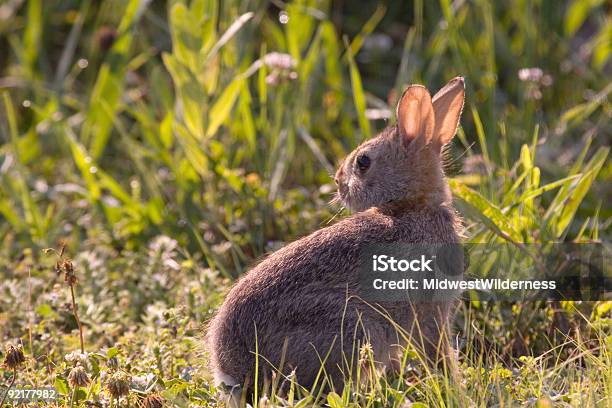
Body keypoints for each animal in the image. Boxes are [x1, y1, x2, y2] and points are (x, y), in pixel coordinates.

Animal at [206, 77, 464, 396]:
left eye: (363, 162)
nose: (339, 181)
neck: (414, 207)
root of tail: (234, 369)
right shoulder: (429, 310)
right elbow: (436, 353)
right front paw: (453, 386)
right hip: (353, 327)